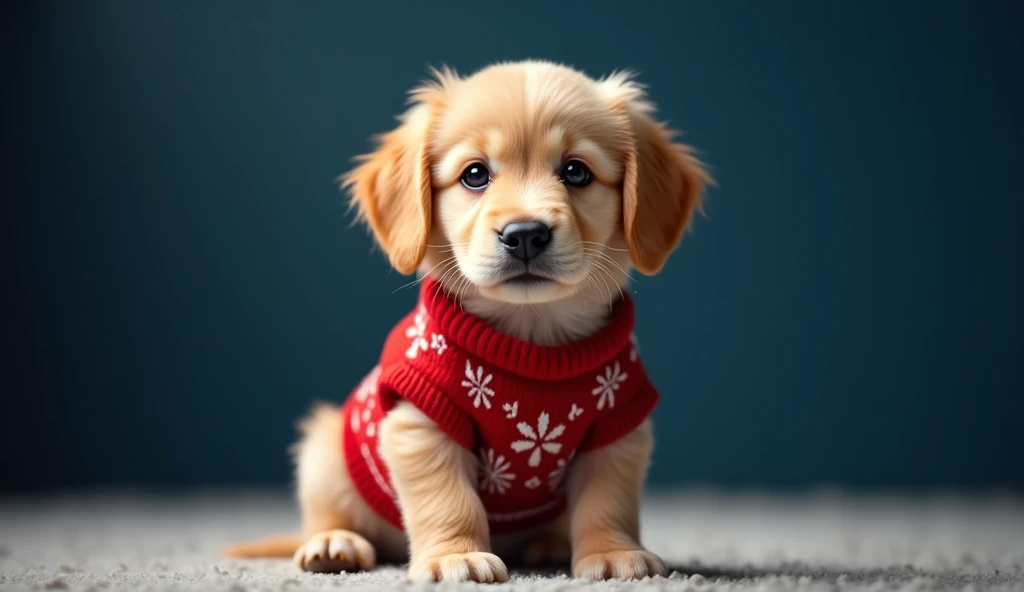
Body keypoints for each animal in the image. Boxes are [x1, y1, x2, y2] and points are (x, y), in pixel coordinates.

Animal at [224, 60, 708, 581]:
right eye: (475, 175)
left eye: (576, 171)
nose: (525, 234)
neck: (531, 337)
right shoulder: (421, 422)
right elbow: (448, 500)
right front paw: (454, 556)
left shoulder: (618, 423)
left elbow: (608, 500)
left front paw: (612, 552)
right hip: (325, 450)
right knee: (329, 517)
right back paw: (335, 544)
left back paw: (549, 545)